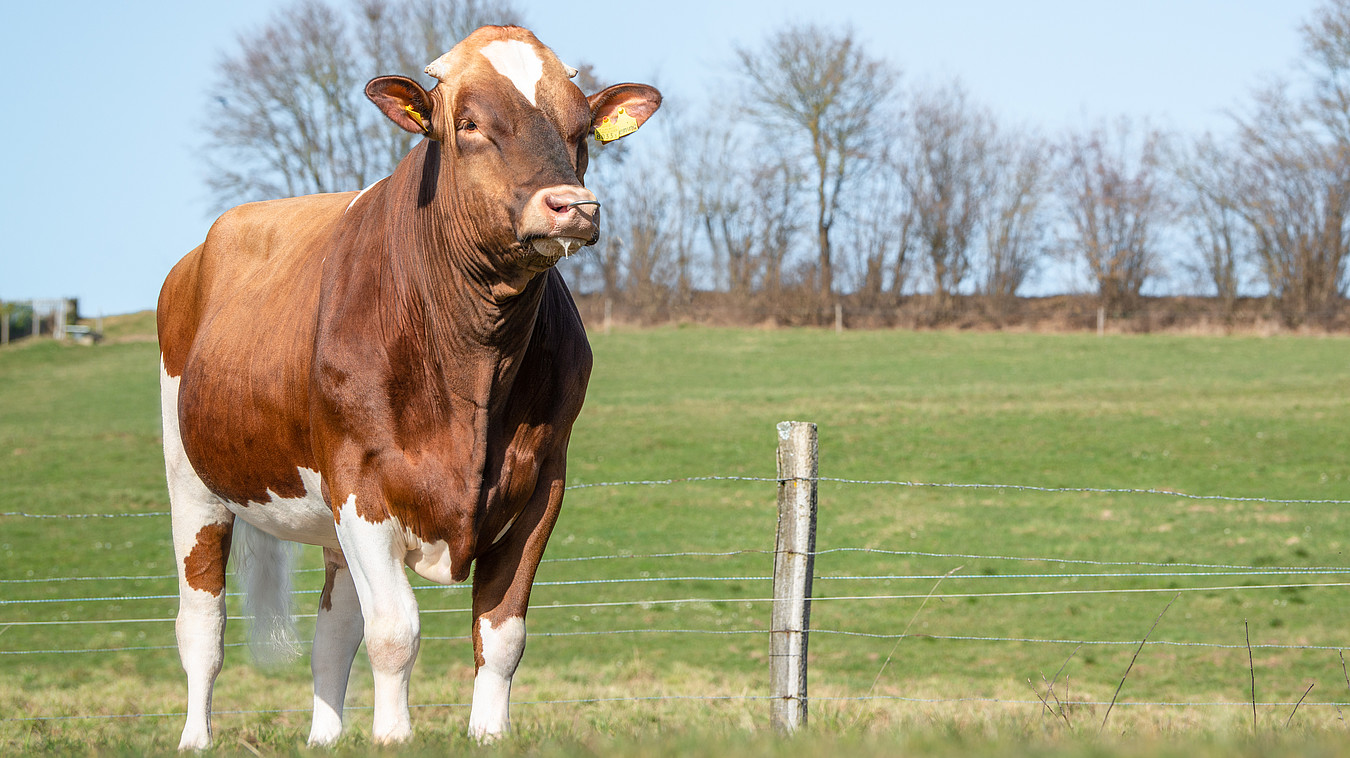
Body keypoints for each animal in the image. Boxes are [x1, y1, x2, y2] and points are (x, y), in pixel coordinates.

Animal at [157, 25, 658, 751]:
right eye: (469, 124)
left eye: (581, 127)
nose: (573, 207)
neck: (474, 362)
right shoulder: (360, 484)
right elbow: (395, 630)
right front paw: (393, 737)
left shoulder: (542, 483)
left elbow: (500, 636)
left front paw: (488, 736)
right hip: (192, 482)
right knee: (202, 625)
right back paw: (196, 738)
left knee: (332, 633)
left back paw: (325, 737)